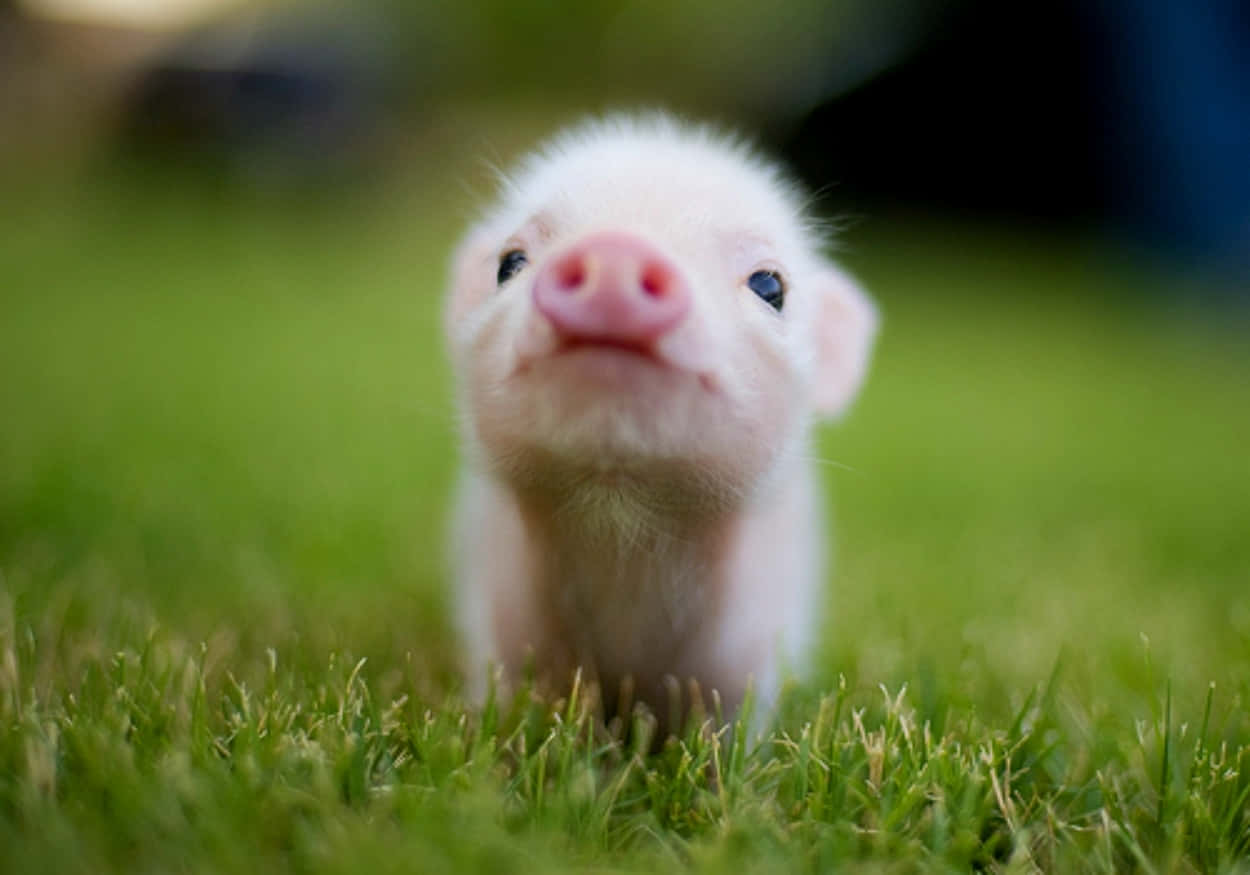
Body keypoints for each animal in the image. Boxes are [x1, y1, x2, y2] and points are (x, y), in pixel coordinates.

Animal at [444, 114, 877, 726]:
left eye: (770, 285)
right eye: (510, 264)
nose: (616, 249)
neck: (622, 525)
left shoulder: (750, 647)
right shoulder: (498, 611)